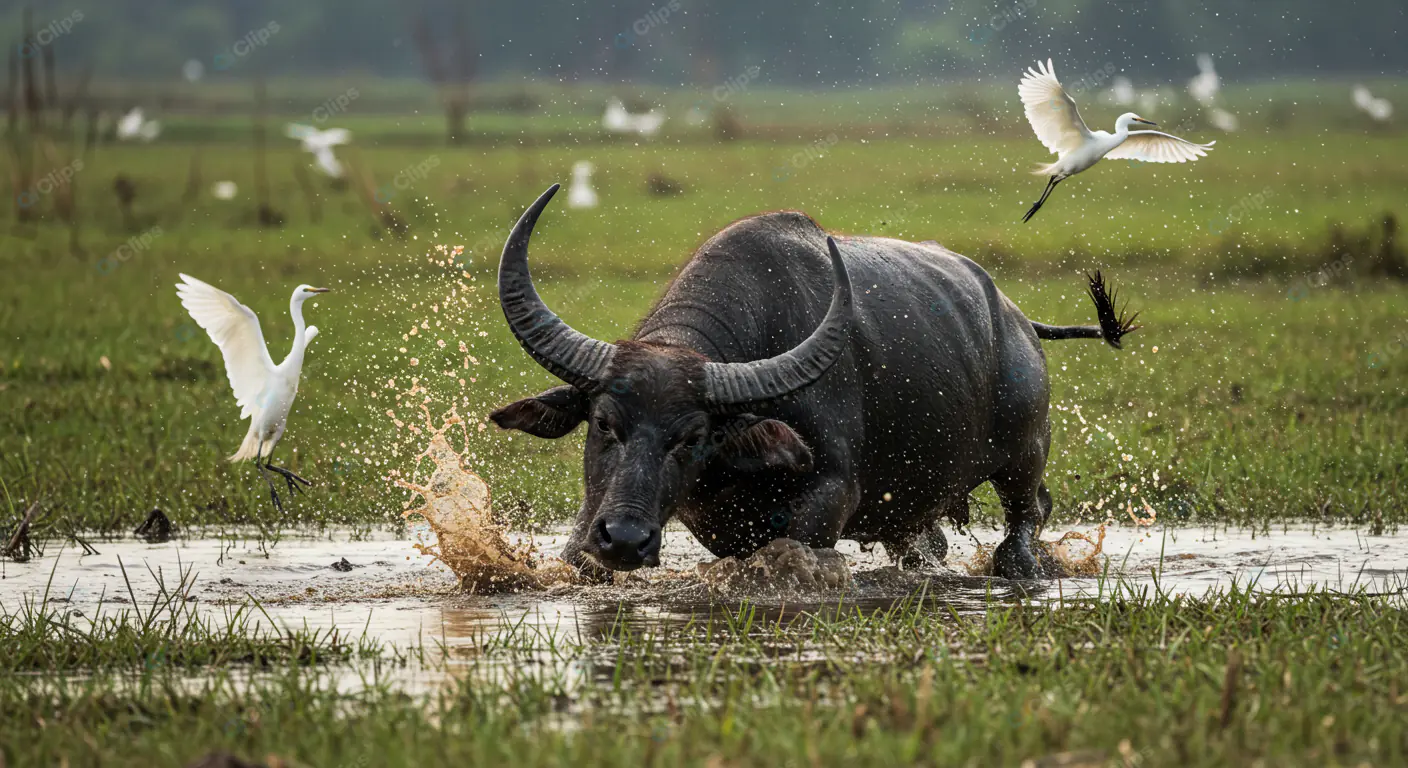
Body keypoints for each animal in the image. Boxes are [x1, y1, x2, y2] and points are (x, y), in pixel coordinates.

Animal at [489, 185, 1138, 580]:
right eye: (603, 423)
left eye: (693, 436)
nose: (625, 539)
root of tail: (1018, 321)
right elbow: (578, 549)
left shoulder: (832, 494)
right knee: (926, 543)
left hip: (1024, 452)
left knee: (1026, 516)